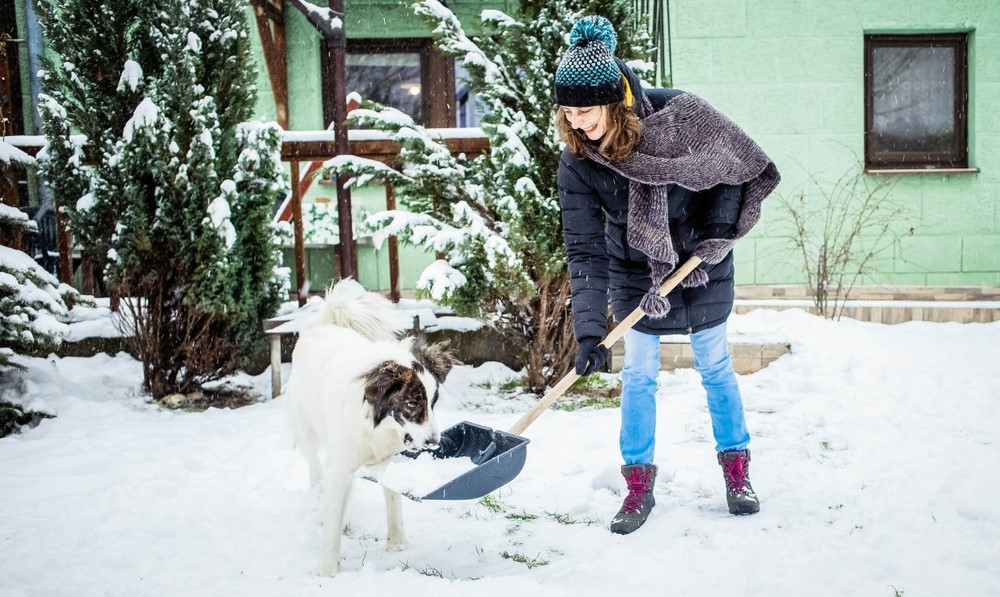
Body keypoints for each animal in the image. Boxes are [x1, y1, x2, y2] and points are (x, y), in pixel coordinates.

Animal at [282, 278, 454, 576]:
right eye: (411, 403)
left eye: (434, 403)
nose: (434, 443)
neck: (378, 428)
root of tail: (324, 324)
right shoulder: (339, 467)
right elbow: (333, 520)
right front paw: (327, 568)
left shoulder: (391, 459)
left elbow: (394, 499)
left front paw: (397, 543)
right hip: (307, 430)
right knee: (314, 467)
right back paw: (316, 500)